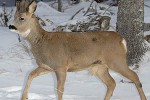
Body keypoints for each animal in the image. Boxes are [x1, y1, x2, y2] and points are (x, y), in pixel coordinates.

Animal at [9, 0, 146, 99]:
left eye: (22, 18)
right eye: (14, 16)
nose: (11, 26)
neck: (43, 42)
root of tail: (122, 40)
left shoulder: (61, 65)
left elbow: (59, 89)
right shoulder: (47, 66)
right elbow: (30, 75)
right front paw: (24, 98)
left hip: (116, 60)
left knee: (134, 76)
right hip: (100, 66)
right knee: (112, 83)